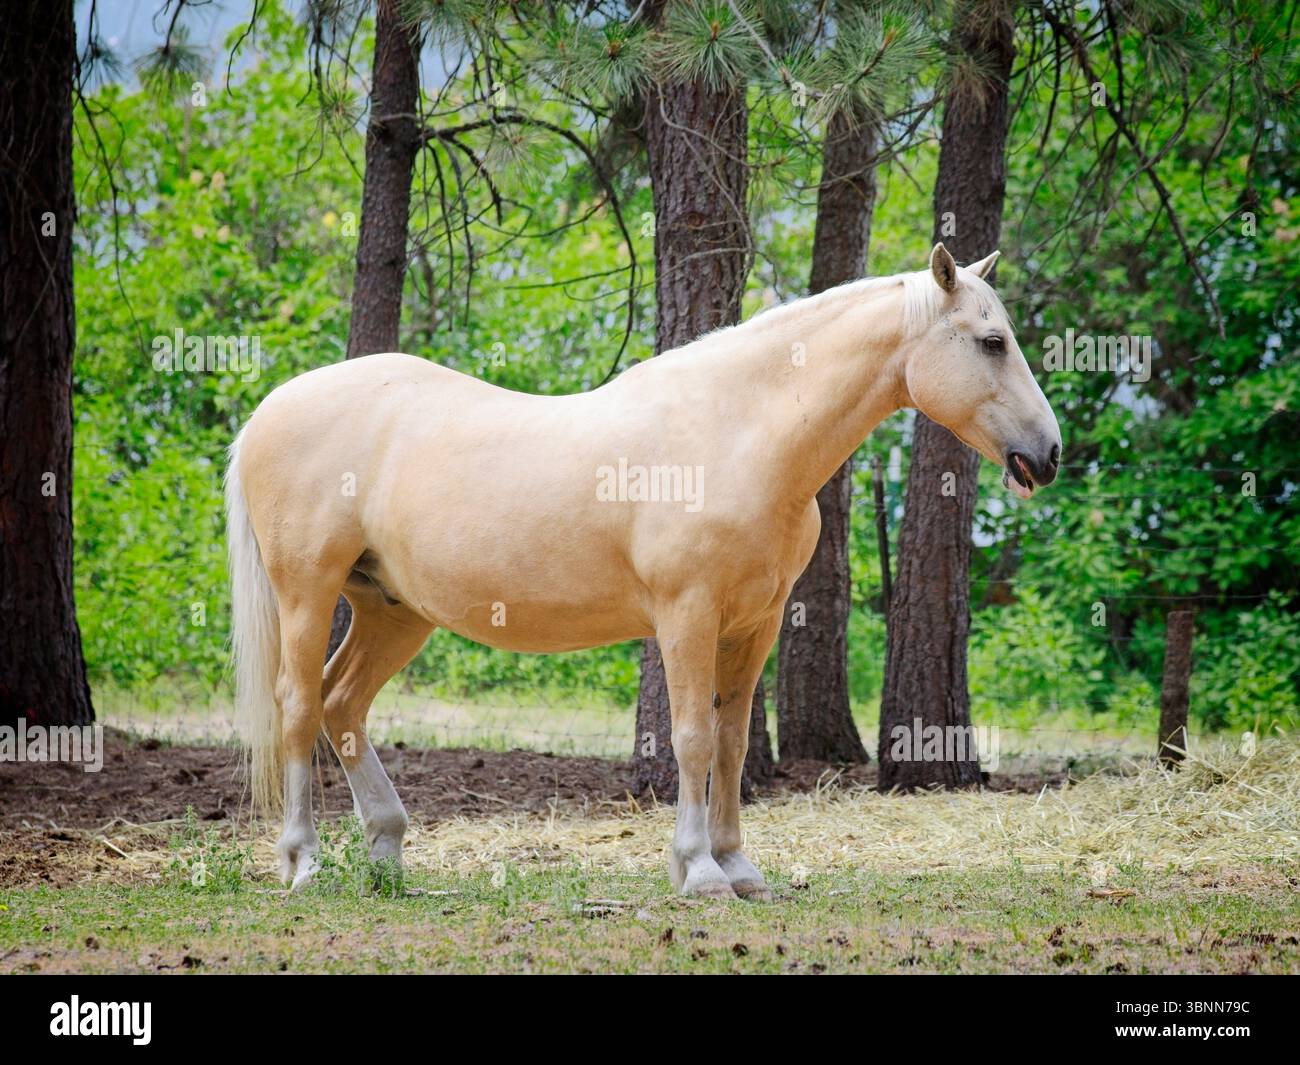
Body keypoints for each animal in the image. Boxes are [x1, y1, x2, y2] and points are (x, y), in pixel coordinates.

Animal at [225, 243, 1061, 898]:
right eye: (992, 341)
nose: (1047, 453)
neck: (738, 432)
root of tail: (268, 410)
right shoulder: (687, 613)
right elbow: (692, 737)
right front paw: (699, 870)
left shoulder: (755, 623)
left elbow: (731, 742)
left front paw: (740, 866)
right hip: (308, 593)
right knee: (300, 705)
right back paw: (303, 861)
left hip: (394, 610)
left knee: (342, 703)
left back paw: (387, 854)